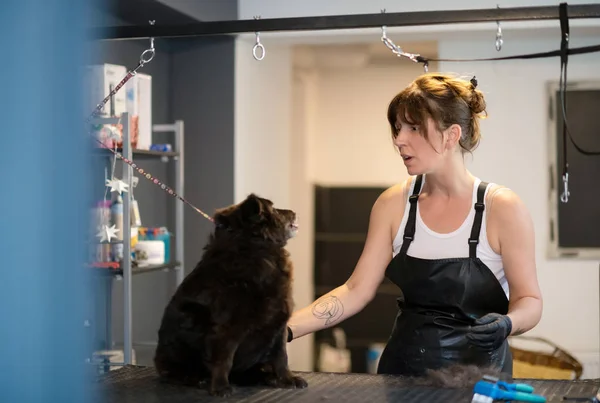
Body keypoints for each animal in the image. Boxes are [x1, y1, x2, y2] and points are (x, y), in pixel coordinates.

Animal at [152, 195, 308, 398]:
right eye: (273, 210)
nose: (294, 212)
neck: (253, 249)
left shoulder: (278, 323)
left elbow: (281, 356)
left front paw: (287, 379)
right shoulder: (225, 328)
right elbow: (223, 360)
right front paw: (220, 387)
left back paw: (266, 377)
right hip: (191, 319)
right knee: (174, 372)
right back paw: (198, 379)